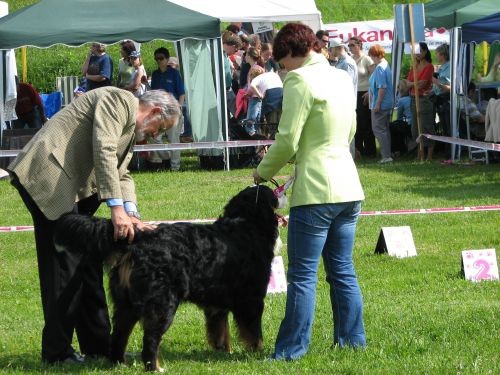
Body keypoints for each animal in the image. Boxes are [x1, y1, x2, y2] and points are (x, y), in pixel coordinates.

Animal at [55, 187, 282, 372]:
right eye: (273, 193)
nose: (281, 193)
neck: (247, 225)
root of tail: (140, 238)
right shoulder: (252, 299)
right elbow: (253, 332)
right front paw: (257, 353)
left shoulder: (216, 304)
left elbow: (220, 332)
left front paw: (223, 352)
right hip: (163, 303)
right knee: (150, 339)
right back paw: (154, 367)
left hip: (126, 303)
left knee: (119, 334)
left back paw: (119, 363)